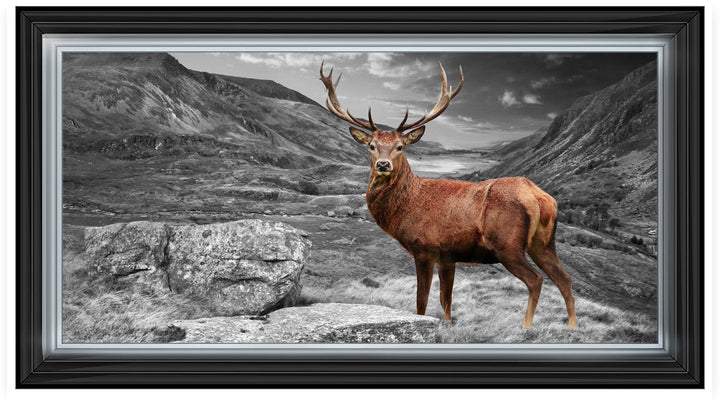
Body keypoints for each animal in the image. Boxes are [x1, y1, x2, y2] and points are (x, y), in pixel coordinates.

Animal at [319, 61, 577, 330]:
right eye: (371, 146)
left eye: (400, 147)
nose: (382, 164)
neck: (406, 208)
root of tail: (541, 198)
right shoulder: (448, 256)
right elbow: (446, 301)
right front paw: (448, 325)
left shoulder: (425, 248)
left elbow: (421, 302)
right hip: (544, 243)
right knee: (564, 279)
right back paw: (573, 327)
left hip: (508, 244)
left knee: (536, 279)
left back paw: (526, 327)